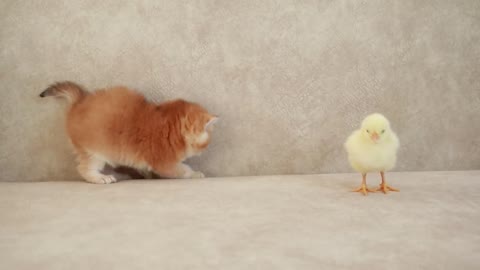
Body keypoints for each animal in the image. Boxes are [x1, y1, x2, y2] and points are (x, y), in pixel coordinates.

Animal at [40, 81, 217, 184]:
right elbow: (183, 170)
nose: (205, 151)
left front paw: (145, 173)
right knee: (83, 169)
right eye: (206, 144)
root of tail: (79, 102)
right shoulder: (165, 163)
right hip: (95, 152)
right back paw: (101, 177)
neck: (172, 127)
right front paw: (196, 174)